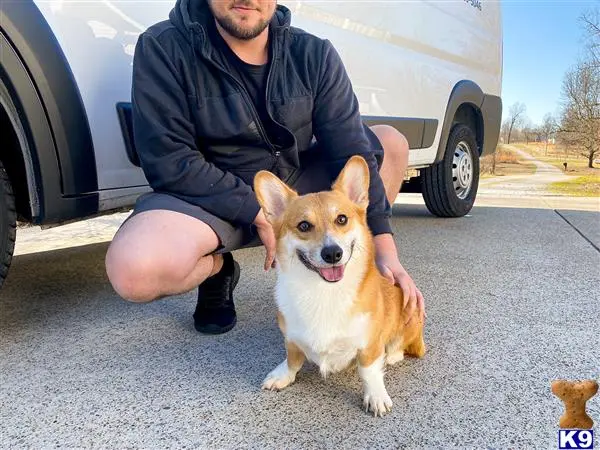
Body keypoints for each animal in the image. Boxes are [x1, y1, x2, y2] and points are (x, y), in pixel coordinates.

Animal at [253, 156, 426, 418]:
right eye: (304, 226)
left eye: (342, 219)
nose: (333, 253)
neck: (323, 292)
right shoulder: (291, 337)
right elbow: (293, 358)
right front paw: (283, 374)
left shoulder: (369, 344)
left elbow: (368, 370)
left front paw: (375, 396)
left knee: (400, 346)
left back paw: (392, 355)